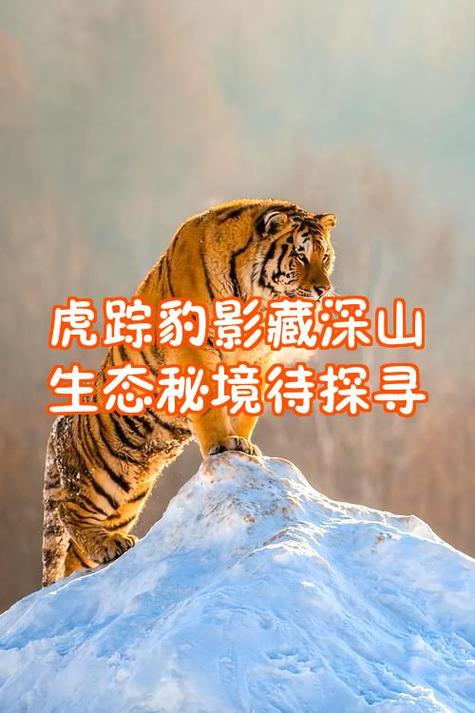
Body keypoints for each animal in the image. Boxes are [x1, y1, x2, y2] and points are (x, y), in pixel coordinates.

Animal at [42, 199, 337, 585]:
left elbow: (245, 410)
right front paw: (224, 446)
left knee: (75, 557)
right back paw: (109, 545)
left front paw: (244, 446)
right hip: (103, 475)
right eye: (300, 256)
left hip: (127, 492)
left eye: (325, 256)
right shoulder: (193, 349)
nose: (324, 290)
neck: (255, 297)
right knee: (71, 511)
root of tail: (58, 425)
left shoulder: (257, 358)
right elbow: (211, 410)